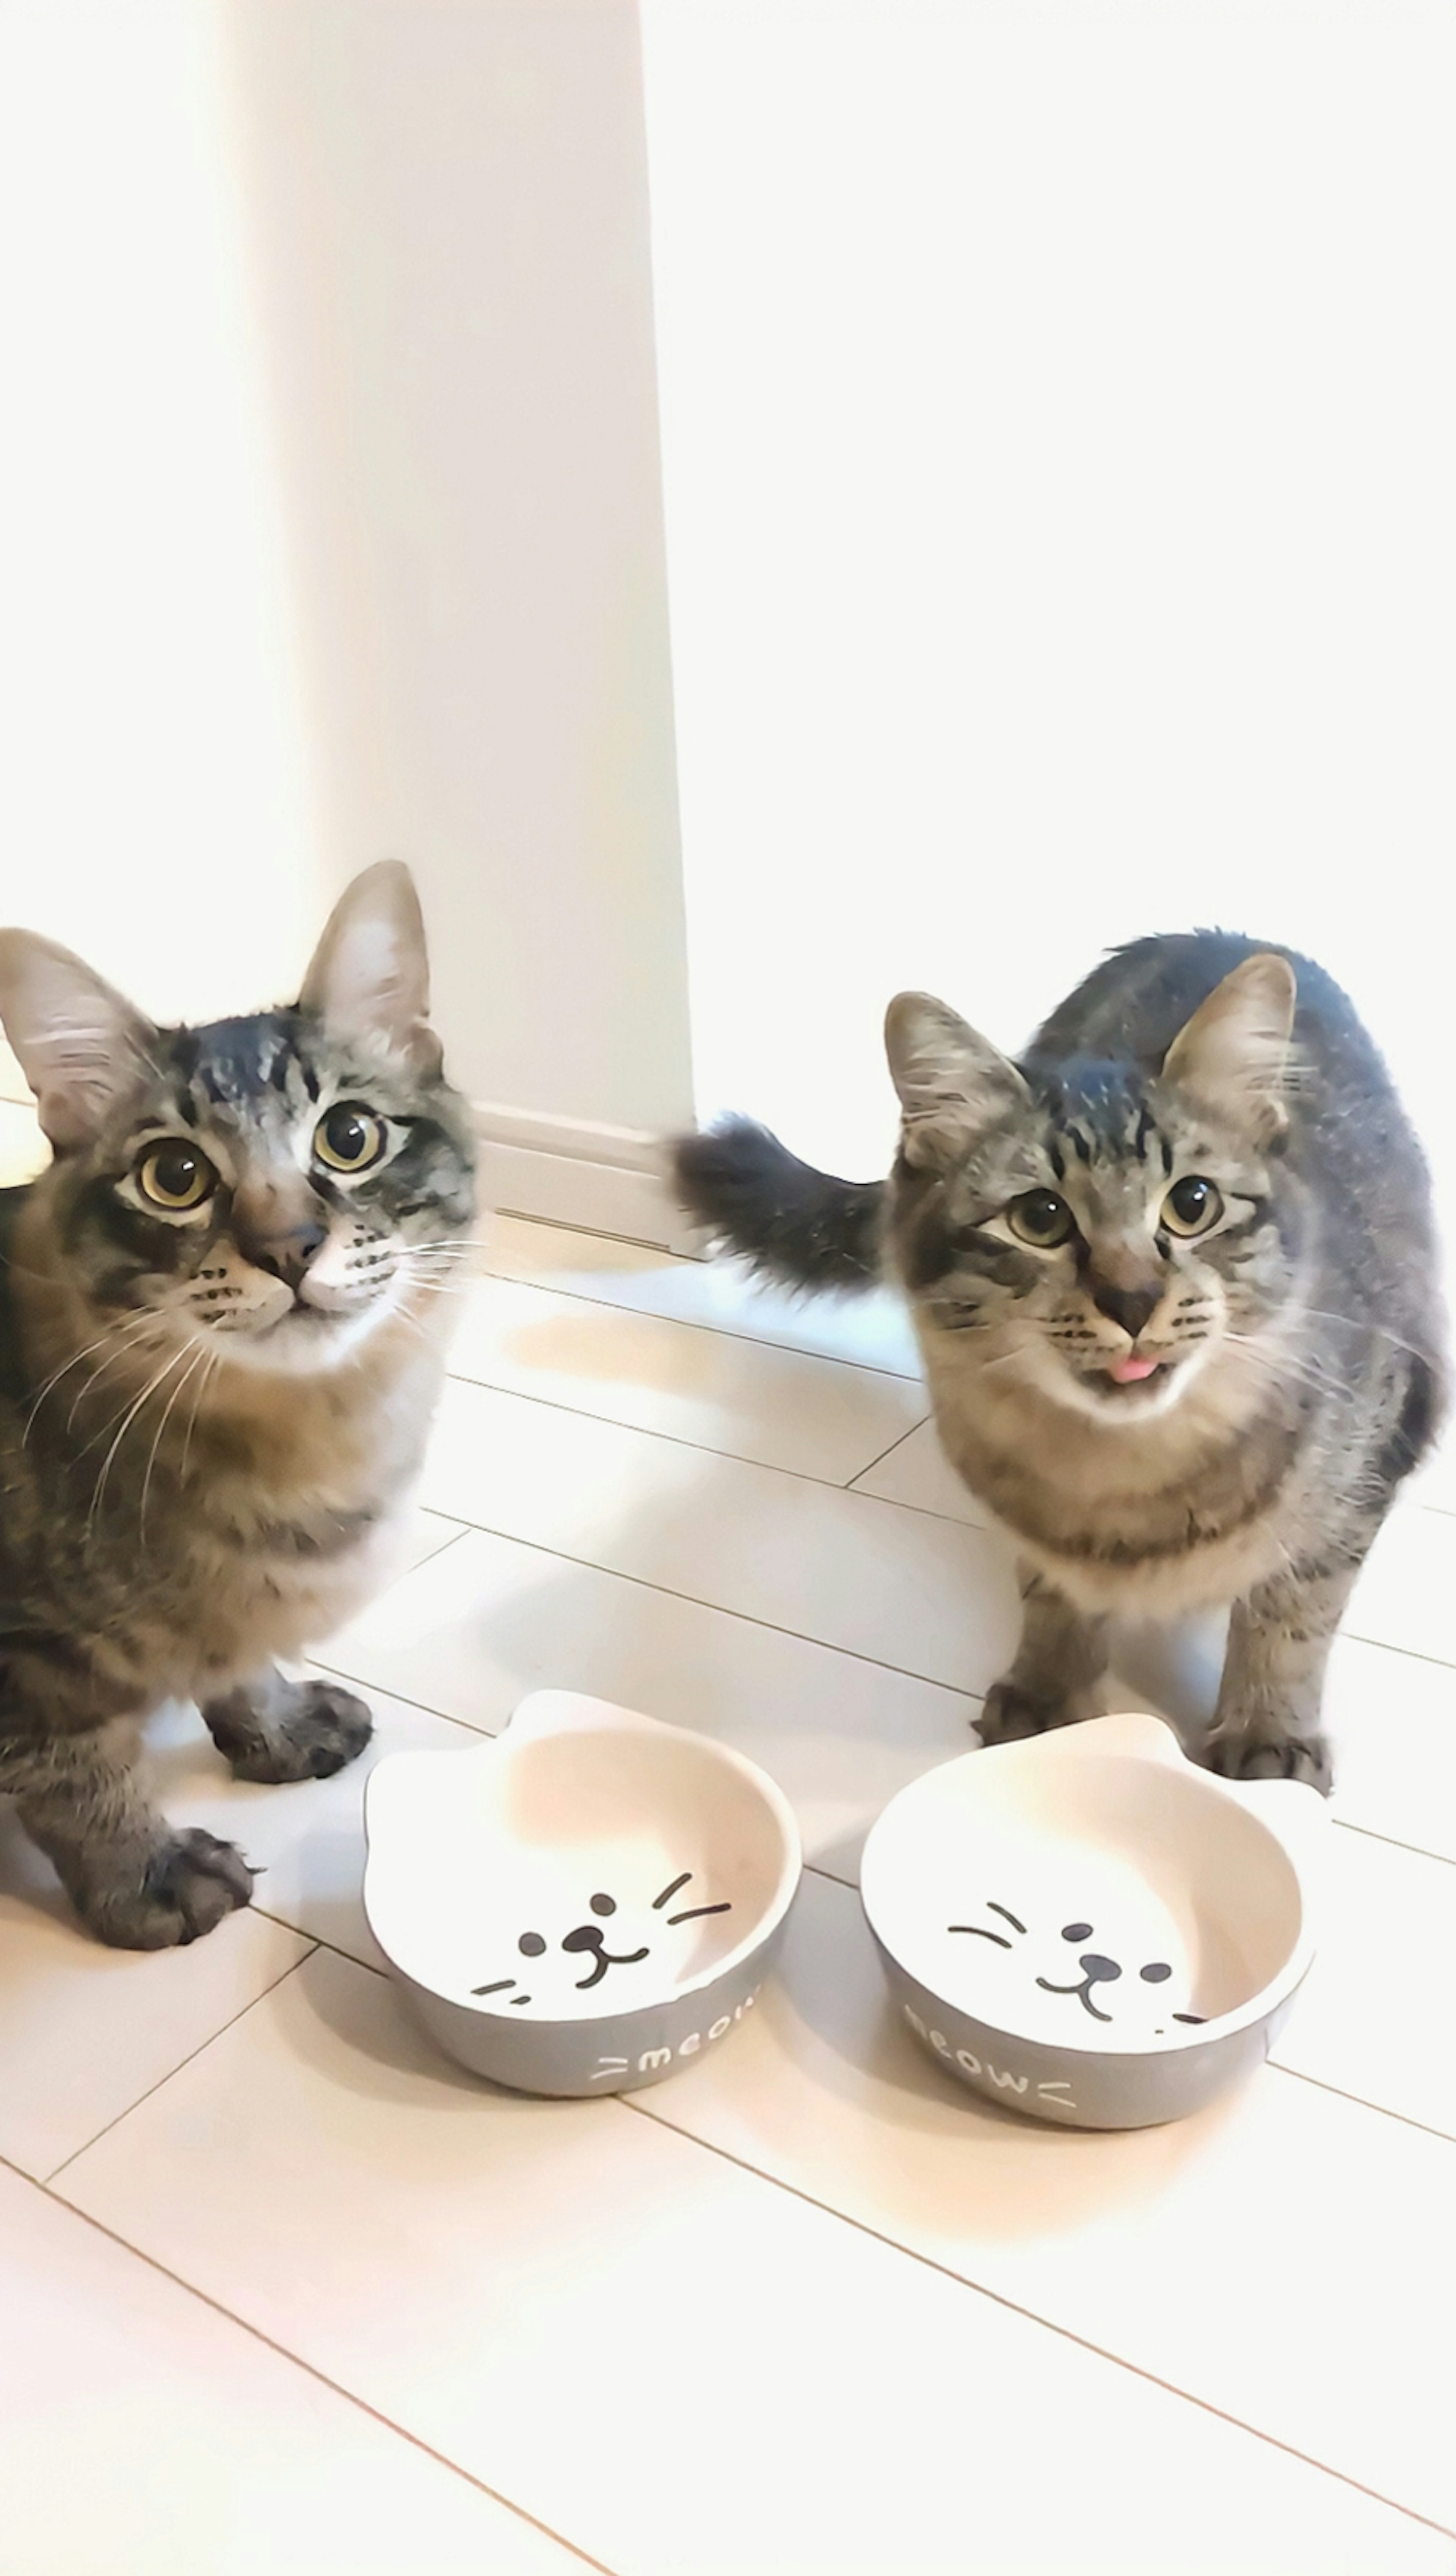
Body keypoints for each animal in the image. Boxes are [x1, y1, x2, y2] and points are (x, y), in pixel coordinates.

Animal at [0, 855, 474, 1937]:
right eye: (174, 1175)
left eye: (350, 1136)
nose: (289, 1247)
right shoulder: (25, 1661)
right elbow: (75, 1773)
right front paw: (144, 1872)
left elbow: (236, 1658)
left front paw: (275, 1723)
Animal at [675, 932, 1443, 1793]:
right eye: (1039, 1219)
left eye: (1194, 1204)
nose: (1133, 1300)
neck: (1127, 1478)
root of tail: (1219, 933)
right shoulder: (1032, 1528)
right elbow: (1051, 1597)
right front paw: (1050, 1692)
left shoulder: (1361, 1478)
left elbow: (1291, 1620)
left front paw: (1267, 1731)